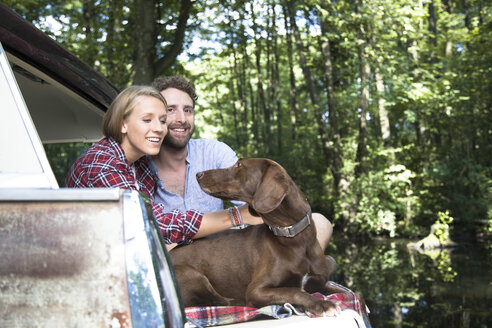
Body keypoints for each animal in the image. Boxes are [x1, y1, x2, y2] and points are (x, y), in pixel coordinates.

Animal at [168, 158, 338, 316]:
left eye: (239, 165)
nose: (198, 174)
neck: (294, 238)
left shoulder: (319, 284)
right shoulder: (256, 290)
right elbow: (294, 291)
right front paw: (322, 304)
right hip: (192, 274)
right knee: (221, 301)